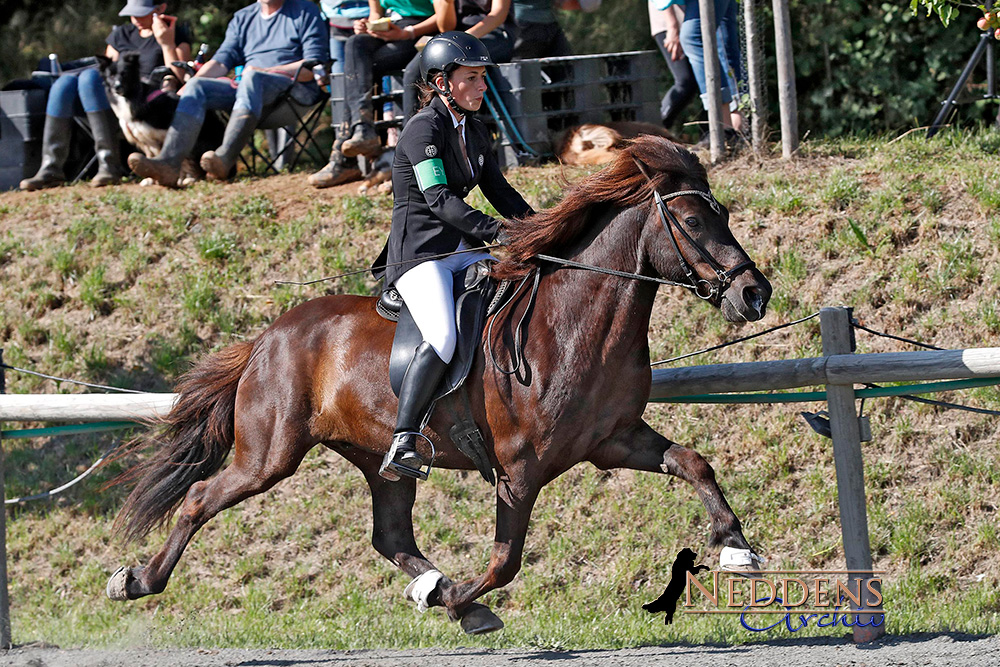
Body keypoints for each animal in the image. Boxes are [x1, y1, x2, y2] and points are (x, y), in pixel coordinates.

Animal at [96, 51, 225, 185]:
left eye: (124, 74)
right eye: (111, 76)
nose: (117, 87)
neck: (135, 98)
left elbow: (182, 157)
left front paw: (187, 177)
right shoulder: (145, 142)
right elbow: (152, 158)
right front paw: (150, 178)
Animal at [105, 136, 772, 636]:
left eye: (724, 215)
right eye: (692, 220)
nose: (754, 294)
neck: (575, 323)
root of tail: (268, 337)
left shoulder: (614, 439)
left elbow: (694, 462)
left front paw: (738, 549)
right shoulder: (520, 468)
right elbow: (505, 561)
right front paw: (459, 603)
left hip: (377, 457)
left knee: (390, 532)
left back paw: (435, 585)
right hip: (269, 454)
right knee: (200, 498)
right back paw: (134, 580)